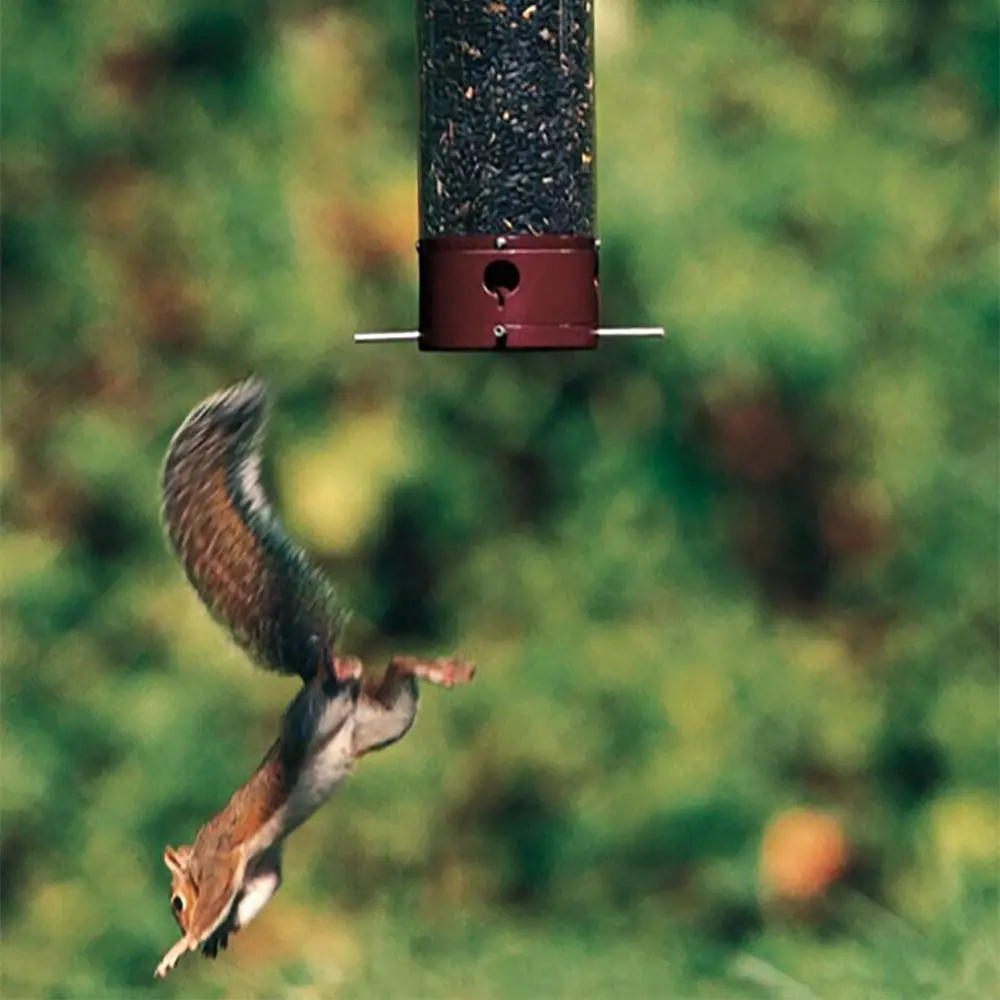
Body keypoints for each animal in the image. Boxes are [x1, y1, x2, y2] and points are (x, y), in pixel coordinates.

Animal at [154, 378, 475, 979]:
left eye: (177, 902)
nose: (181, 925)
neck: (208, 857)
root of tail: (322, 677)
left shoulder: (224, 862)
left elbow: (219, 901)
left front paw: (181, 947)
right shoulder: (261, 866)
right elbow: (255, 897)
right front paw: (217, 938)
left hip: (312, 719)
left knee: (355, 675)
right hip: (390, 718)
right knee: (394, 668)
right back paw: (438, 668)